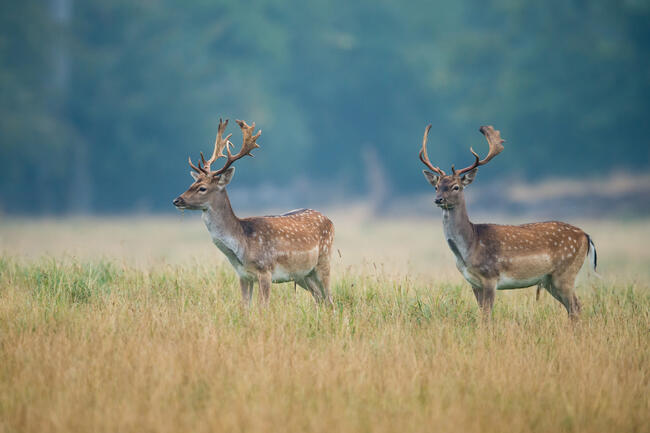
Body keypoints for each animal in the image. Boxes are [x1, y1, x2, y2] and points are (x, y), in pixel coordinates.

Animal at [172, 118, 334, 308]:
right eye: (191, 184)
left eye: (202, 188)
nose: (177, 200)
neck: (242, 246)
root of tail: (329, 220)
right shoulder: (243, 275)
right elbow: (245, 307)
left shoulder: (265, 271)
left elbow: (262, 307)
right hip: (303, 274)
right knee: (320, 299)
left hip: (324, 261)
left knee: (330, 299)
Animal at [418, 125, 596, 318]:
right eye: (436, 187)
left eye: (456, 187)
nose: (438, 199)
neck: (470, 246)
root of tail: (586, 236)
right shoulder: (473, 282)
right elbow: (482, 313)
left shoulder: (490, 277)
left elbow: (487, 315)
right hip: (550, 280)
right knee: (573, 308)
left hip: (565, 273)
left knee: (576, 306)